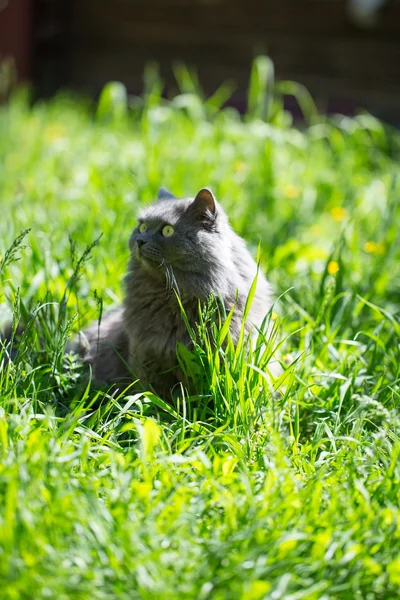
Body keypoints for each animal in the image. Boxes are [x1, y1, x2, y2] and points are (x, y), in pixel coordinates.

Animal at [73, 188, 276, 398]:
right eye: (142, 226)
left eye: (167, 231)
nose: (140, 240)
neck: (174, 298)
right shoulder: (148, 355)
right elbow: (156, 397)